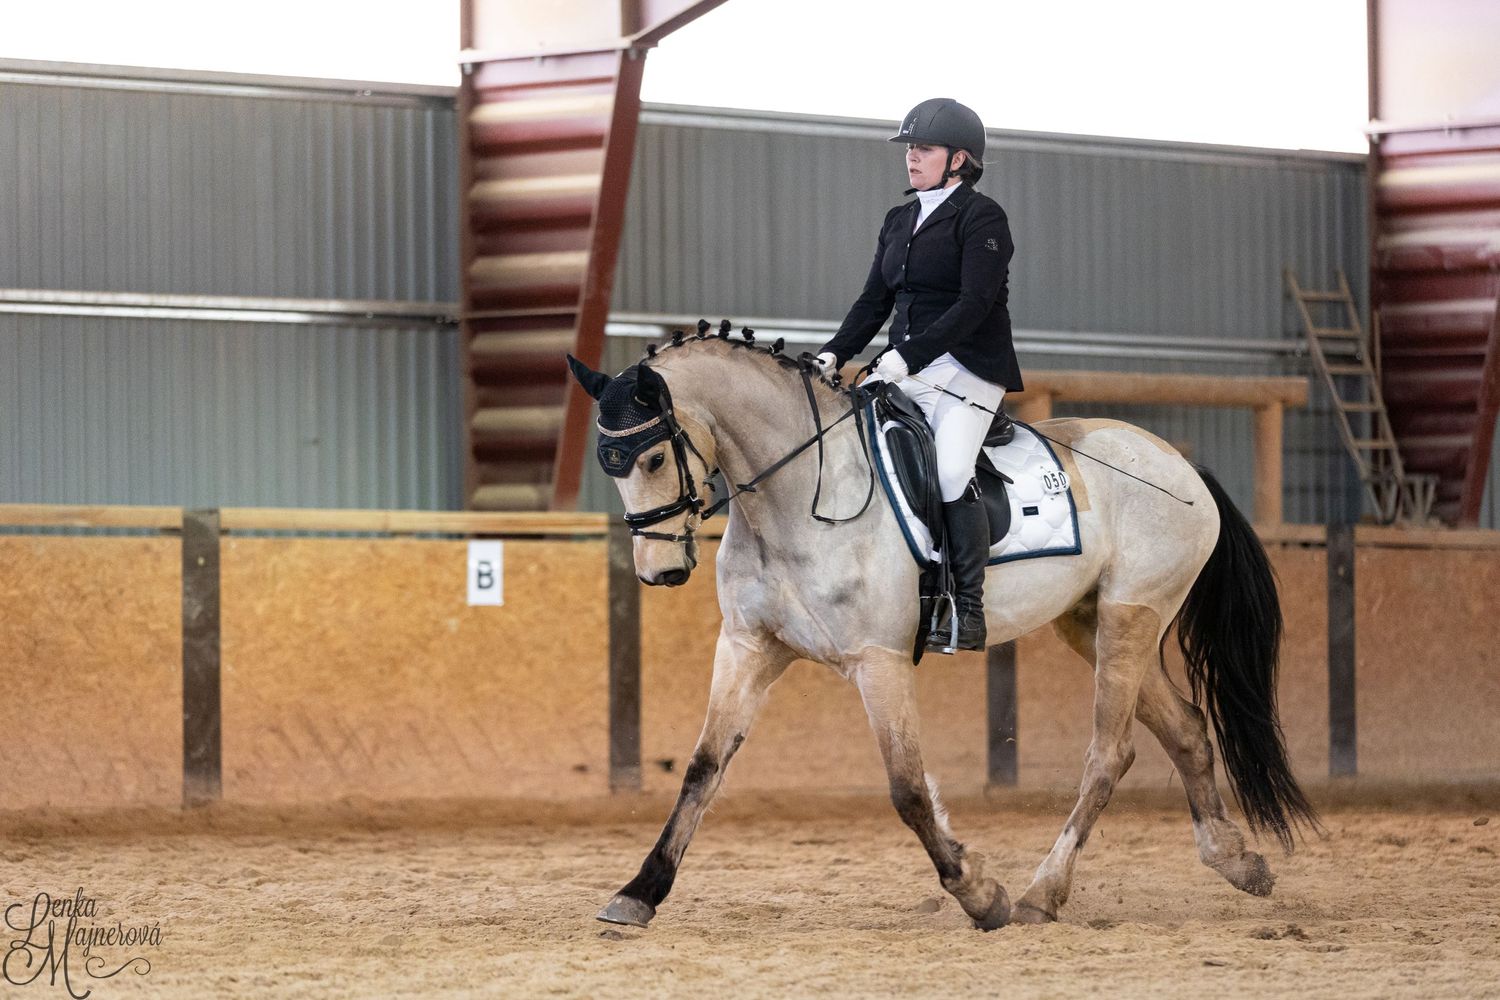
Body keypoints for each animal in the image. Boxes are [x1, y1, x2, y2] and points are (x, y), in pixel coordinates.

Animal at [566, 328, 1316, 931]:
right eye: (610, 465)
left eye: (654, 459)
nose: (660, 571)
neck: (799, 494)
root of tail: (1179, 462)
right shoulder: (750, 648)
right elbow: (703, 767)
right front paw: (639, 892)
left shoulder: (879, 661)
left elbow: (907, 788)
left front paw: (980, 894)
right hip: (1090, 623)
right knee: (1185, 728)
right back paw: (1236, 861)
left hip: (1131, 618)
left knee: (1109, 755)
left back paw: (1041, 894)